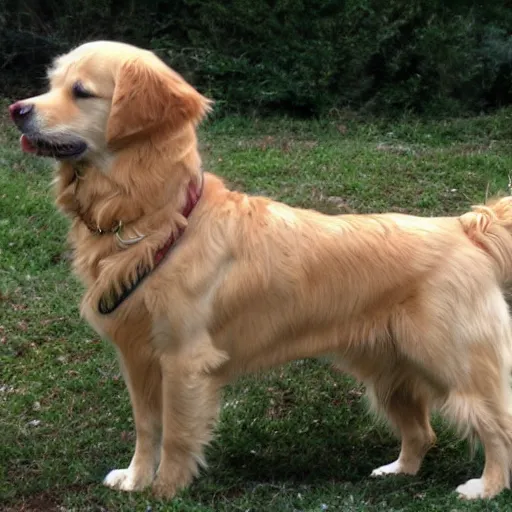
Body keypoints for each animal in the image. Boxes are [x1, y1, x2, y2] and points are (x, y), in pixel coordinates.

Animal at [8, 39, 512, 500]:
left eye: (81, 91)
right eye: (51, 83)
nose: (16, 109)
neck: (158, 217)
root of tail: (464, 227)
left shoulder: (183, 358)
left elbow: (175, 436)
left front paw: (164, 493)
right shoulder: (139, 357)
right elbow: (147, 428)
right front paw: (135, 480)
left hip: (457, 365)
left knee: (498, 427)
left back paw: (485, 488)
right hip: (389, 372)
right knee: (421, 432)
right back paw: (398, 471)